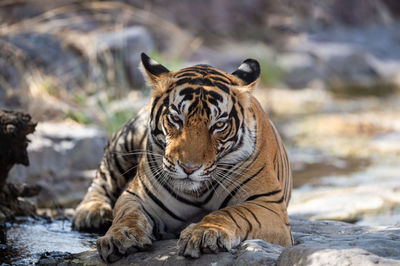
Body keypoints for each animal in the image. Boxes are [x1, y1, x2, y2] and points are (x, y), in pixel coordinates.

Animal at [72, 52, 292, 262]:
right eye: (175, 119)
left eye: (219, 125)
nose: (189, 168)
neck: (197, 193)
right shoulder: (136, 194)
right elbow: (127, 214)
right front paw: (122, 235)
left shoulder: (269, 205)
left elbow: (231, 212)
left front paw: (205, 233)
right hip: (126, 140)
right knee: (104, 175)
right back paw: (91, 212)